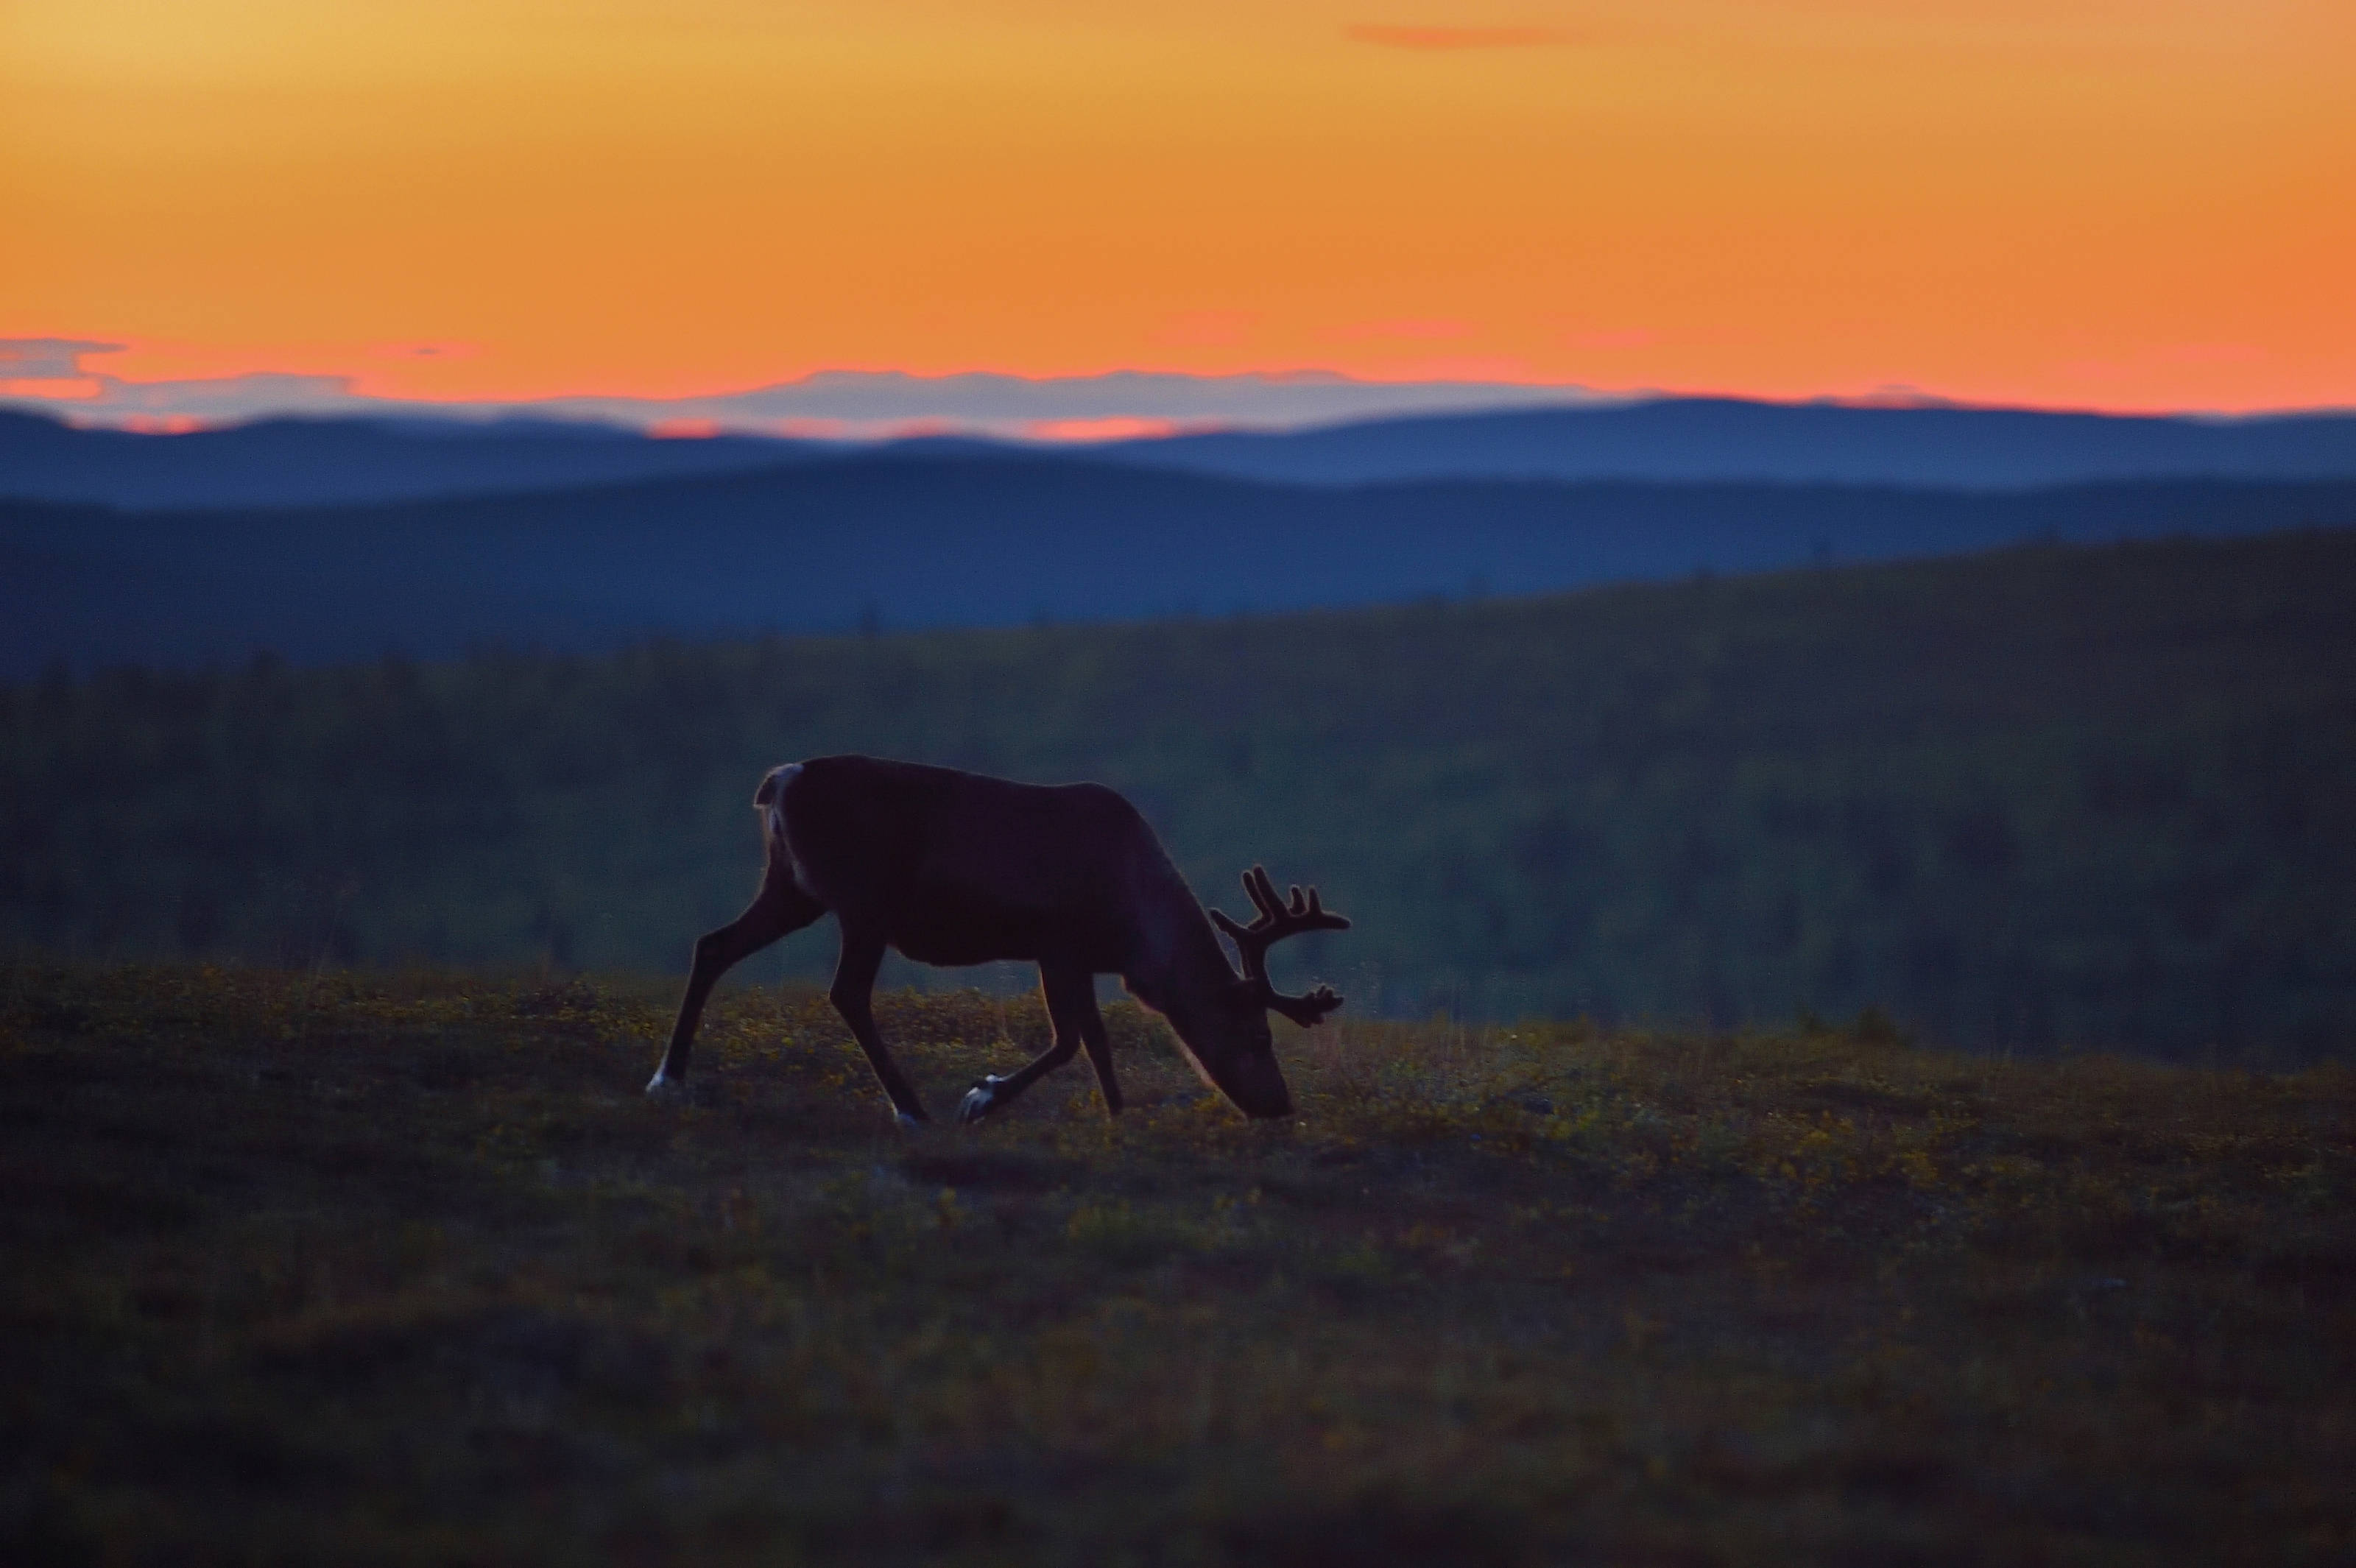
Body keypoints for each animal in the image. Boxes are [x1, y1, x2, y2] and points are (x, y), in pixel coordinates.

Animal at [645, 753, 1357, 1115]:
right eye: (1258, 1035)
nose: (1280, 1105)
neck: (1135, 930)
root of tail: (778, 783)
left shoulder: (1072, 956)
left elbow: (1095, 1042)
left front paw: (1117, 1114)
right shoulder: (1058, 942)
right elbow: (1071, 1041)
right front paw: (982, 1096)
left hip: (792, 889)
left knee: (713, 945)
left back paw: (668, 1078)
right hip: (863, 904)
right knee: (846, 993)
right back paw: (911, 1108)